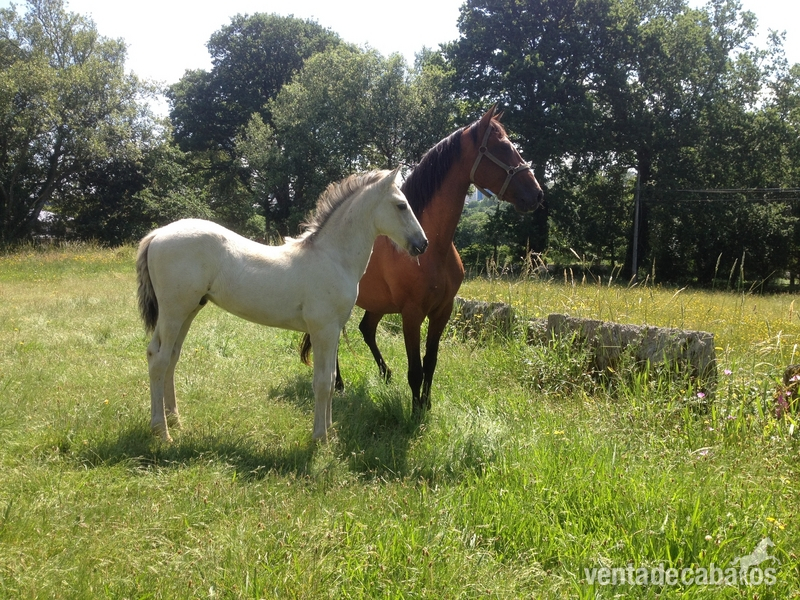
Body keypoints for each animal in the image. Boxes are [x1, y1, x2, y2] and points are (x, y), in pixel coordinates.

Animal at [136, 168, 428, 443]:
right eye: (401, 205)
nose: (422, 244)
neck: (332, 257)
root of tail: (158, 234)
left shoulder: (333, 330)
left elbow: (332, 378)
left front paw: (330, 432)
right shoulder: (323, 330)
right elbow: (323, 382)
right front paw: (320, 438)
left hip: (188, 311)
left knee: (169, 357)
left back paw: (175, 420)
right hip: (174, 312)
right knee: (160, 360)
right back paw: (161, 430)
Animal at [301, 106, 544, 413]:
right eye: (502, 147)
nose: (536, 194)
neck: (433, 249)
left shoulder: (443, 310)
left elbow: (430, 361)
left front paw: (426, 403)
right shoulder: (412, 313)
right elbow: (415, 368)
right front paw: (415, 410)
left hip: (376, 304)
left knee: (366, 329)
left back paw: (384, 374)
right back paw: (342, 384)